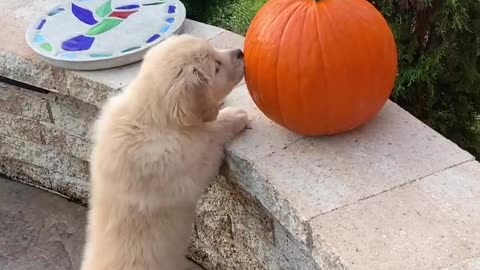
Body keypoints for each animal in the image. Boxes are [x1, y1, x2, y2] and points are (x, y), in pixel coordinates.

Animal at [79, 34, 248, 270]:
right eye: (216, 67)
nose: (240, 52)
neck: (148, 117)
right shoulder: (189, 163)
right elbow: (211, 132)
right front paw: (234, 116)